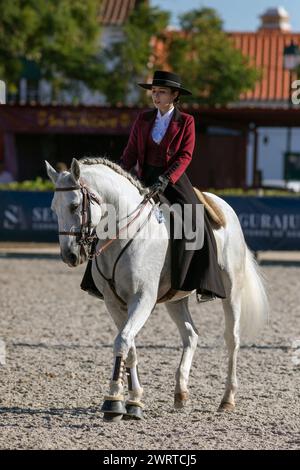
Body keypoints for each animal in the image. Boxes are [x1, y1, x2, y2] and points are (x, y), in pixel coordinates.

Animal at [45, 158, 268, 422]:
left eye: (74, 206)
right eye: (53, 209)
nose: (69, 256)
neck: (125, 234)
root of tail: (222, 205)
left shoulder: (142, 299)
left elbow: (122, 341)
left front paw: (113, 401)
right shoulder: (113, 303)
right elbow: (129, 346)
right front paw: (132, 401)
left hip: (231, 292)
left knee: (232, 339)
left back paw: (227, 399)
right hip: (175, 300)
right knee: (191, 336)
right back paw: (181, 393)